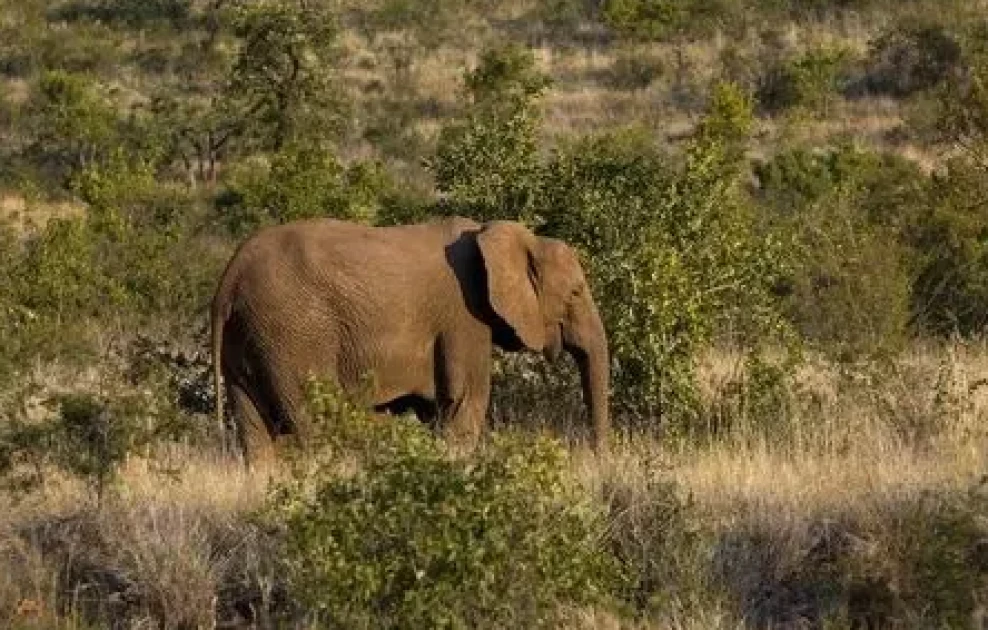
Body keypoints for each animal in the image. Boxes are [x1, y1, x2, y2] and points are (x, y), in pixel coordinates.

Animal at [211, 217, 604, 464]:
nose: (597, 457)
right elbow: (466, 401)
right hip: (294, 334)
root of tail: (230, 278)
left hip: (251, 338)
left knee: (256, 434)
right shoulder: (464, 316)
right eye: (575, 292)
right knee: (316, 425)